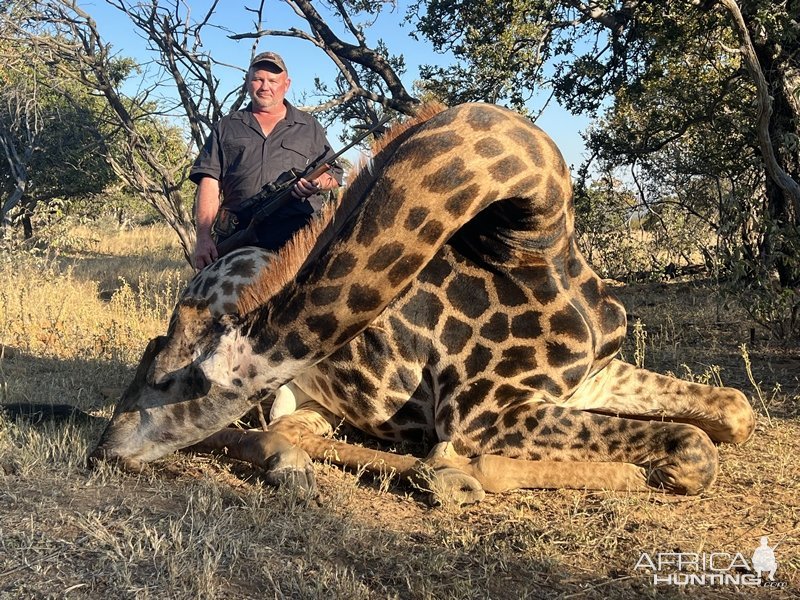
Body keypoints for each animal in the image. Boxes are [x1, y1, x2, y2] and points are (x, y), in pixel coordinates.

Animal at [89, 103, 756, 502]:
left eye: (171, 381)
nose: (104, 451)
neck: (540, 237)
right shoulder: (487, 412)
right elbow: (693, 446)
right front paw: (457, 468)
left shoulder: (592, 375)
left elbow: (734, 411)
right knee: (263, 431)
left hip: (305, 396)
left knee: (290, 428)